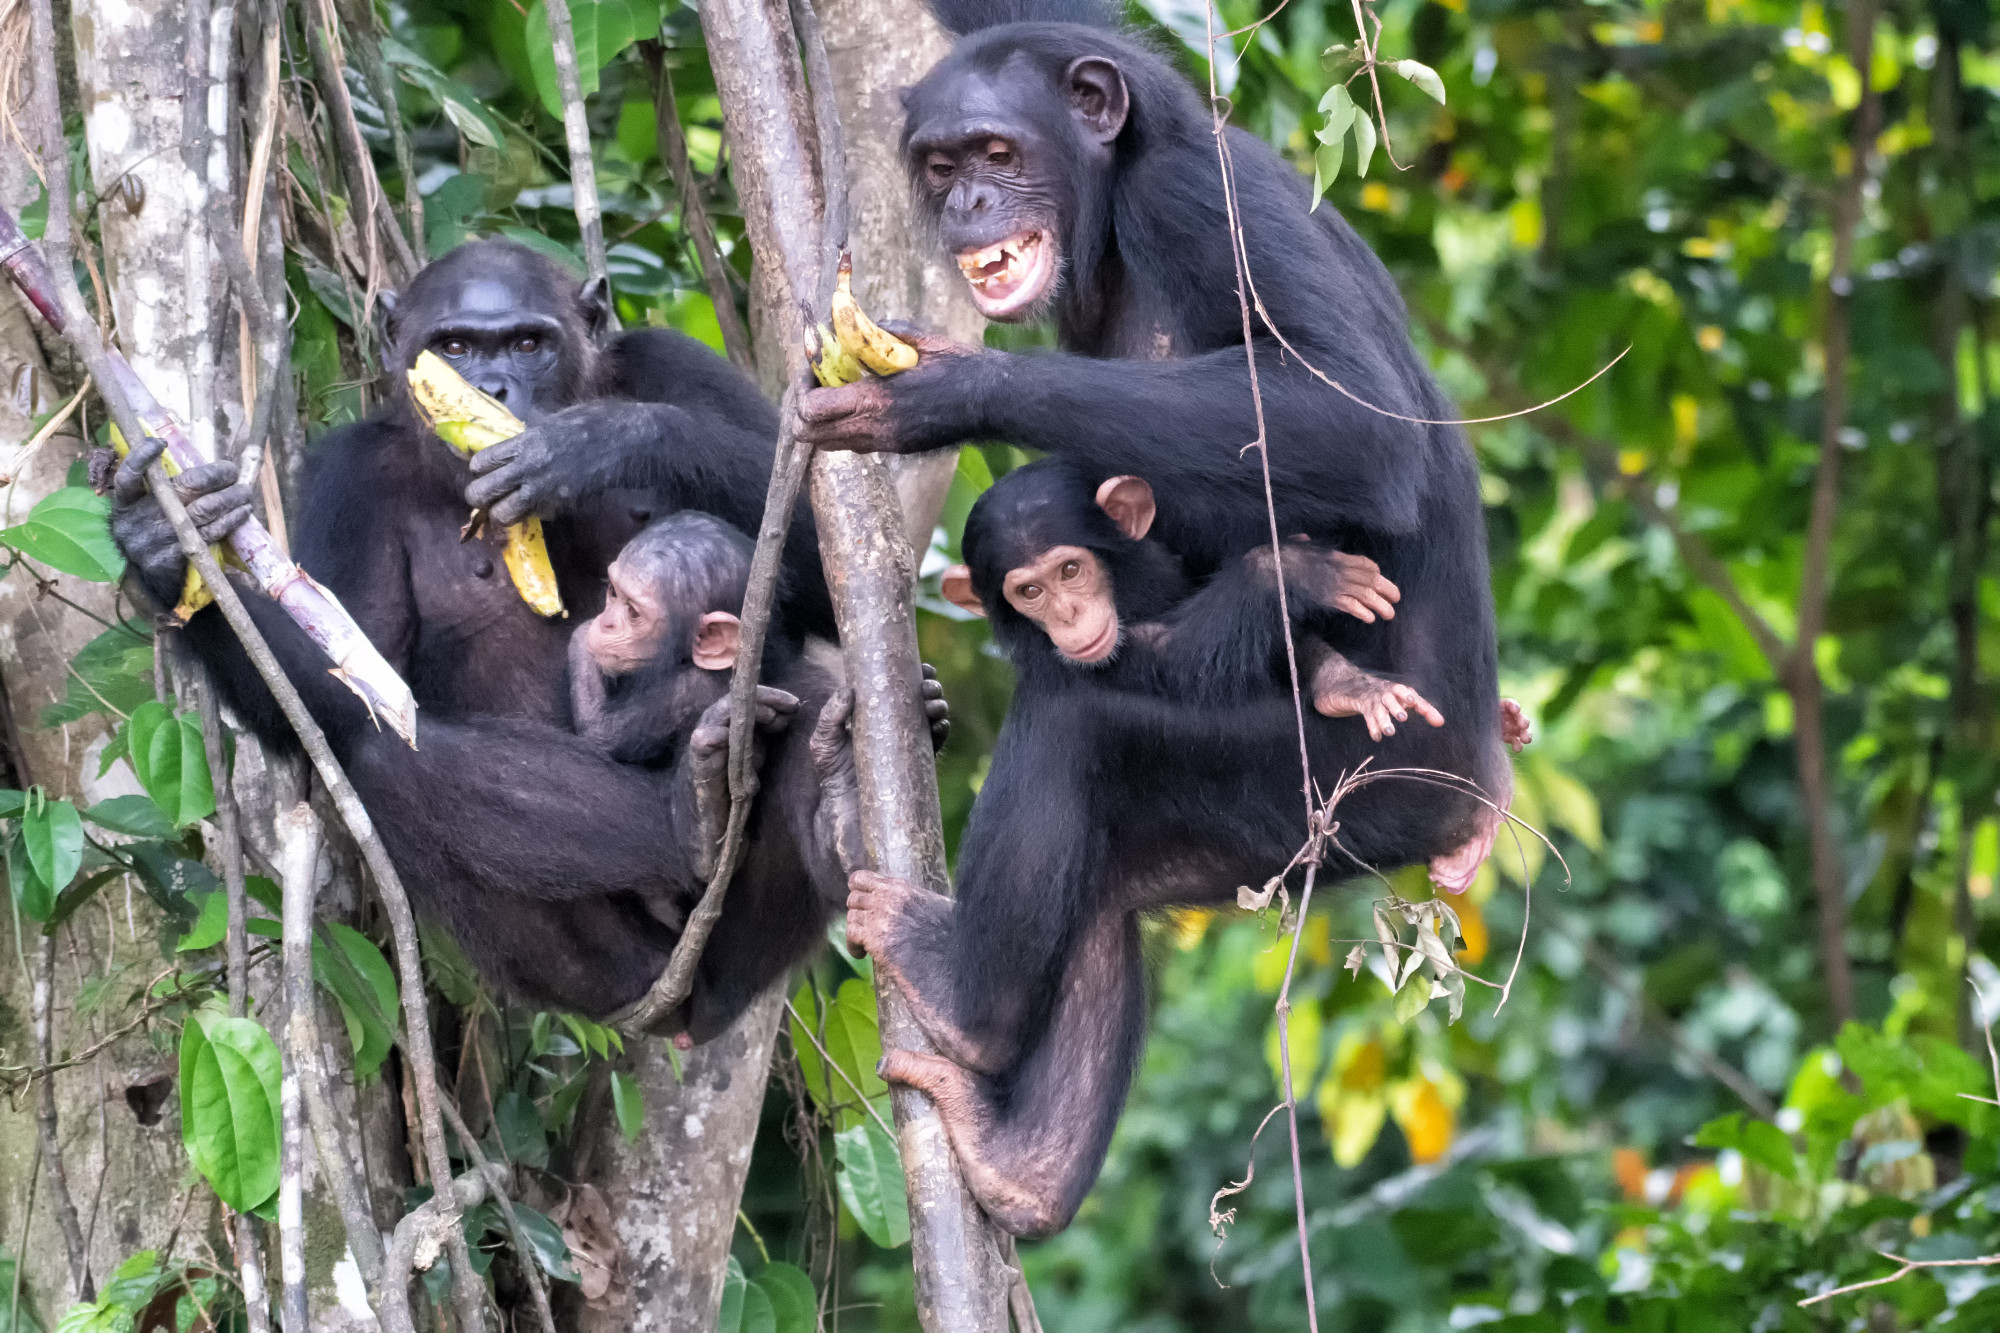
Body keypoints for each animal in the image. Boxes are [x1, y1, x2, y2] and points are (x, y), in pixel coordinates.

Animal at [111, 237, 828, 756]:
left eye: (528, 343)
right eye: (453, 347)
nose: (491, 388)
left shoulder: (676, 360)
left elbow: (823, 559)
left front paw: (594, 443)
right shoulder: (347, 480)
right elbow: (357, 687)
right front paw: (161, 542)